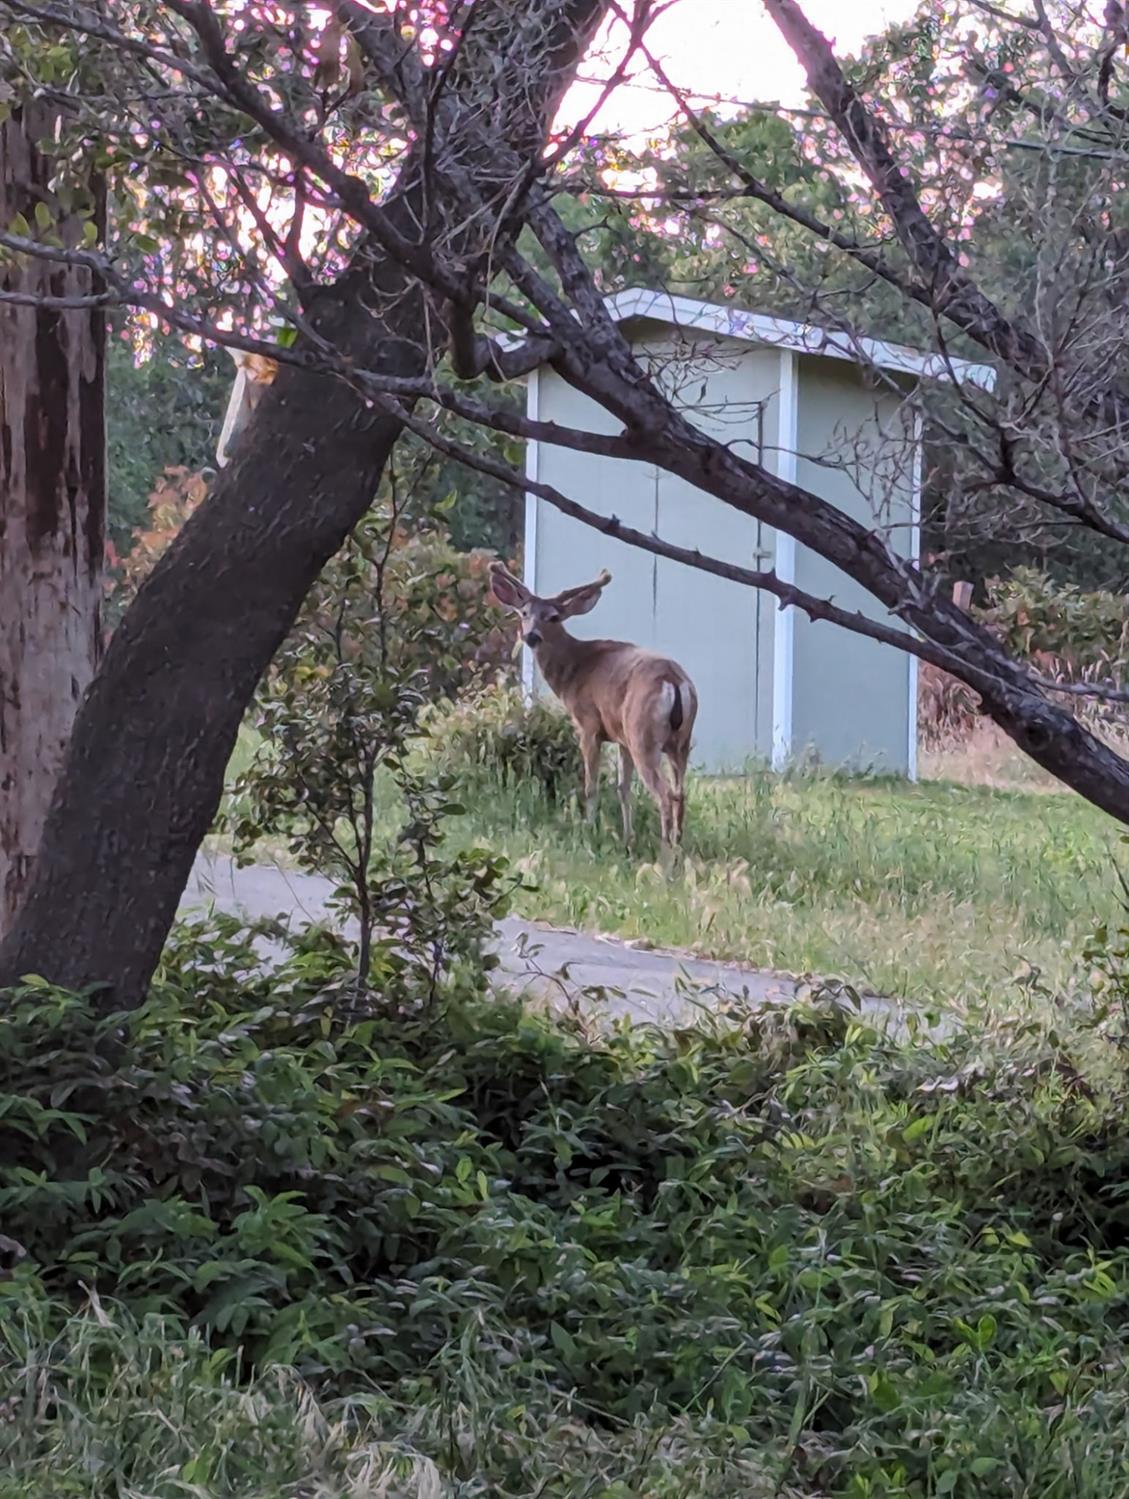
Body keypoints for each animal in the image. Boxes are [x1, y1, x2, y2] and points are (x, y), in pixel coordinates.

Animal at [489, 562, 698, 851]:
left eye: (553, 617)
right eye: (524, 613)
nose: (531, 635)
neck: (574, 671)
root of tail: (674, 680)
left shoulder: (588, 725)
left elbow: (590, 786)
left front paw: (589, 831)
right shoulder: (621, 737)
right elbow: (622, 788)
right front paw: (627, 838)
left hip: (643, 735)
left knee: (665, 794)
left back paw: (665, 849)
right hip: (680, 741)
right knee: (680, 792)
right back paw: (678, 844)